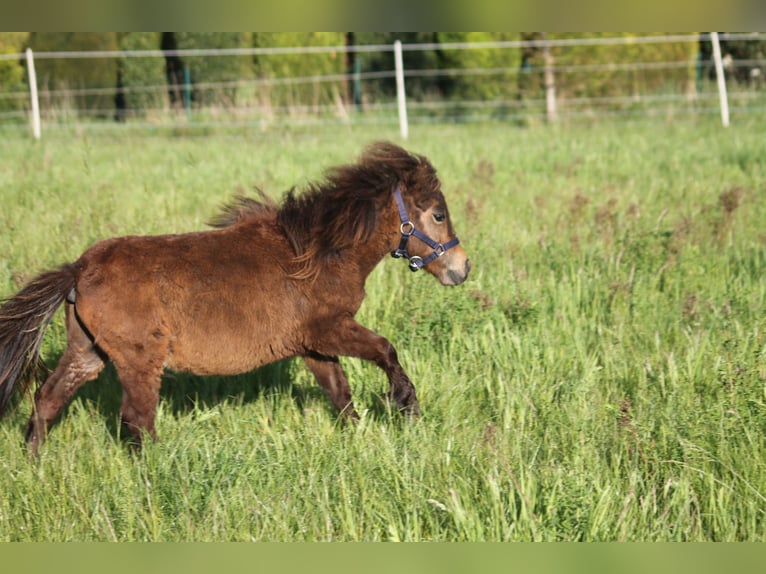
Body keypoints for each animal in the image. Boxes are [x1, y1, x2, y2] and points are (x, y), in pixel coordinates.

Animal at [0, 141, 472, 454]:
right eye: (438, 213)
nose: (462, 268)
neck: (320, 252)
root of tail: (79, 268)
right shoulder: (329, 329)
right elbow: (384, 350)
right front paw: (406, 404)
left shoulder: (313, 345)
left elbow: (341, 395)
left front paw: (359, 438)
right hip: (139, 359)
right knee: (136, 418)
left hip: (87, 351)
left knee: (47, 400)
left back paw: (34, 462)